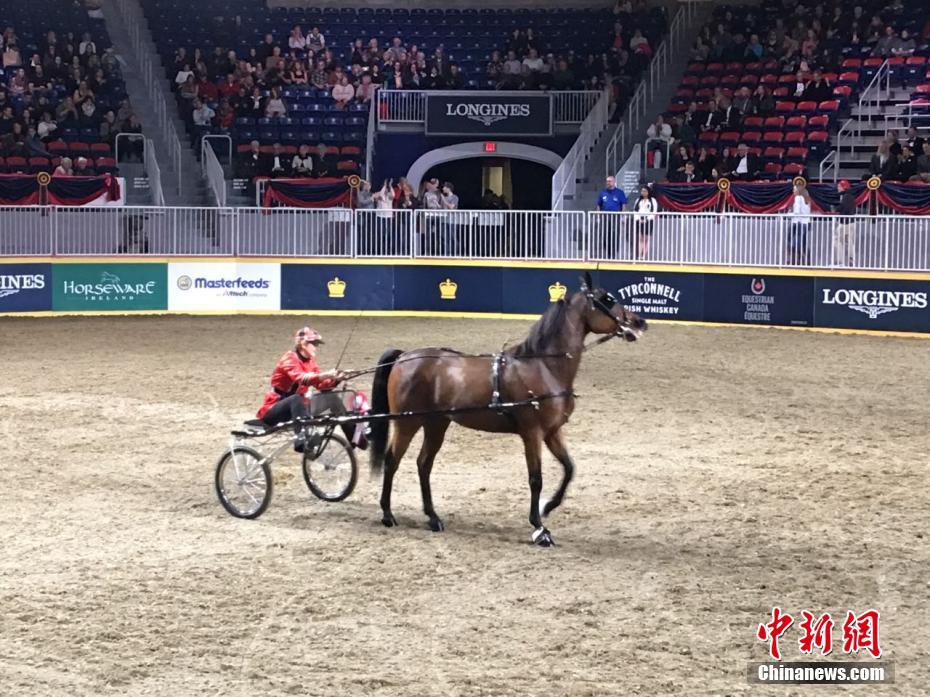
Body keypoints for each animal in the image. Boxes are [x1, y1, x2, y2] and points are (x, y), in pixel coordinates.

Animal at [364, 274, 644, 548]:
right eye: (607, 299)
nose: (639, 322)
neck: (543, 366)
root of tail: (404, 357)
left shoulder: (552, 432)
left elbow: (569, 468)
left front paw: (548, 507)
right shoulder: (532, 433)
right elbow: (536, 479)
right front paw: (539, 529)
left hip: (436, 423)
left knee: (423, 464)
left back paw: (433, 518)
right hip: (407, 423)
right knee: (392, 461)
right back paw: (388, 514)